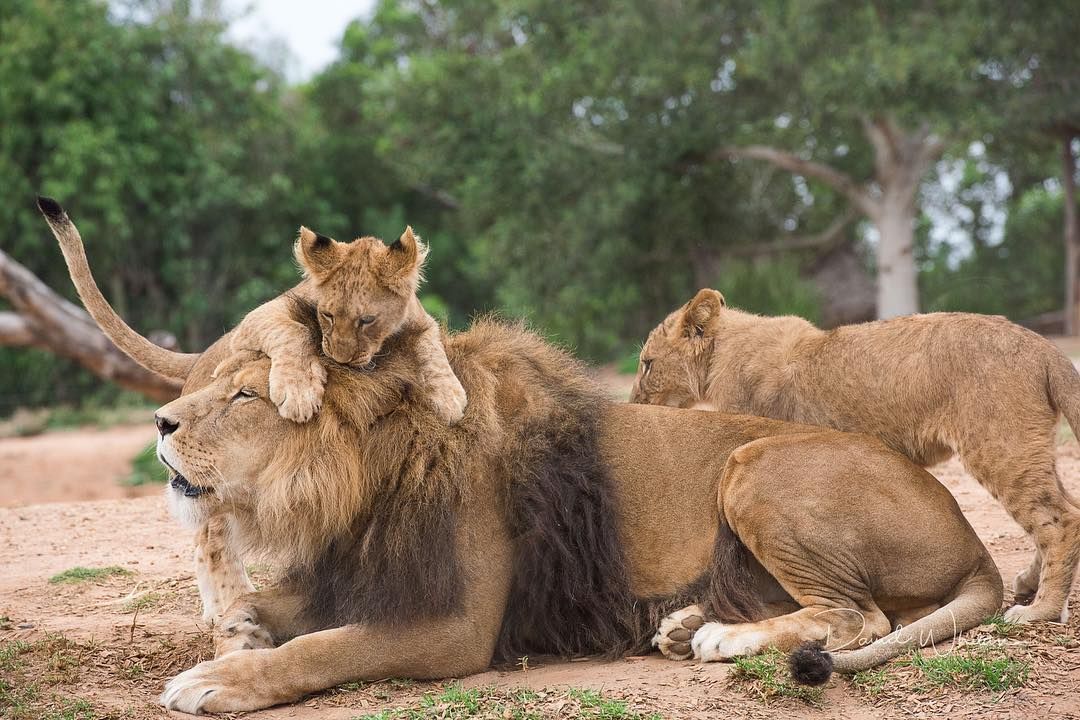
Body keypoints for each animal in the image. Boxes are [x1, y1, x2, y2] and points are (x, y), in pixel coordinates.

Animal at [39, 198, 1002, 716]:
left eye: (248, 396)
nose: (161, 422)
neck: (358, 481)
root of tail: (974, 539)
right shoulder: (355, 575)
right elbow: (274, 616)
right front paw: (236, 632)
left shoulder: (453, 626)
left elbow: (318, 652)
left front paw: (216, 679)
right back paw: (685, 622)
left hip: (756, 464)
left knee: (858, 617)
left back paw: (720, 634)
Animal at [630, 287, 1080, 626]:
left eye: (647, 365)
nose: (633, 401)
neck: (722, 352)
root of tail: (1044, 347)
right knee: (1061, 507)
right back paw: (1029, 585)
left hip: (999, 445)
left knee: (1061, 518)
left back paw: (1039, 611)